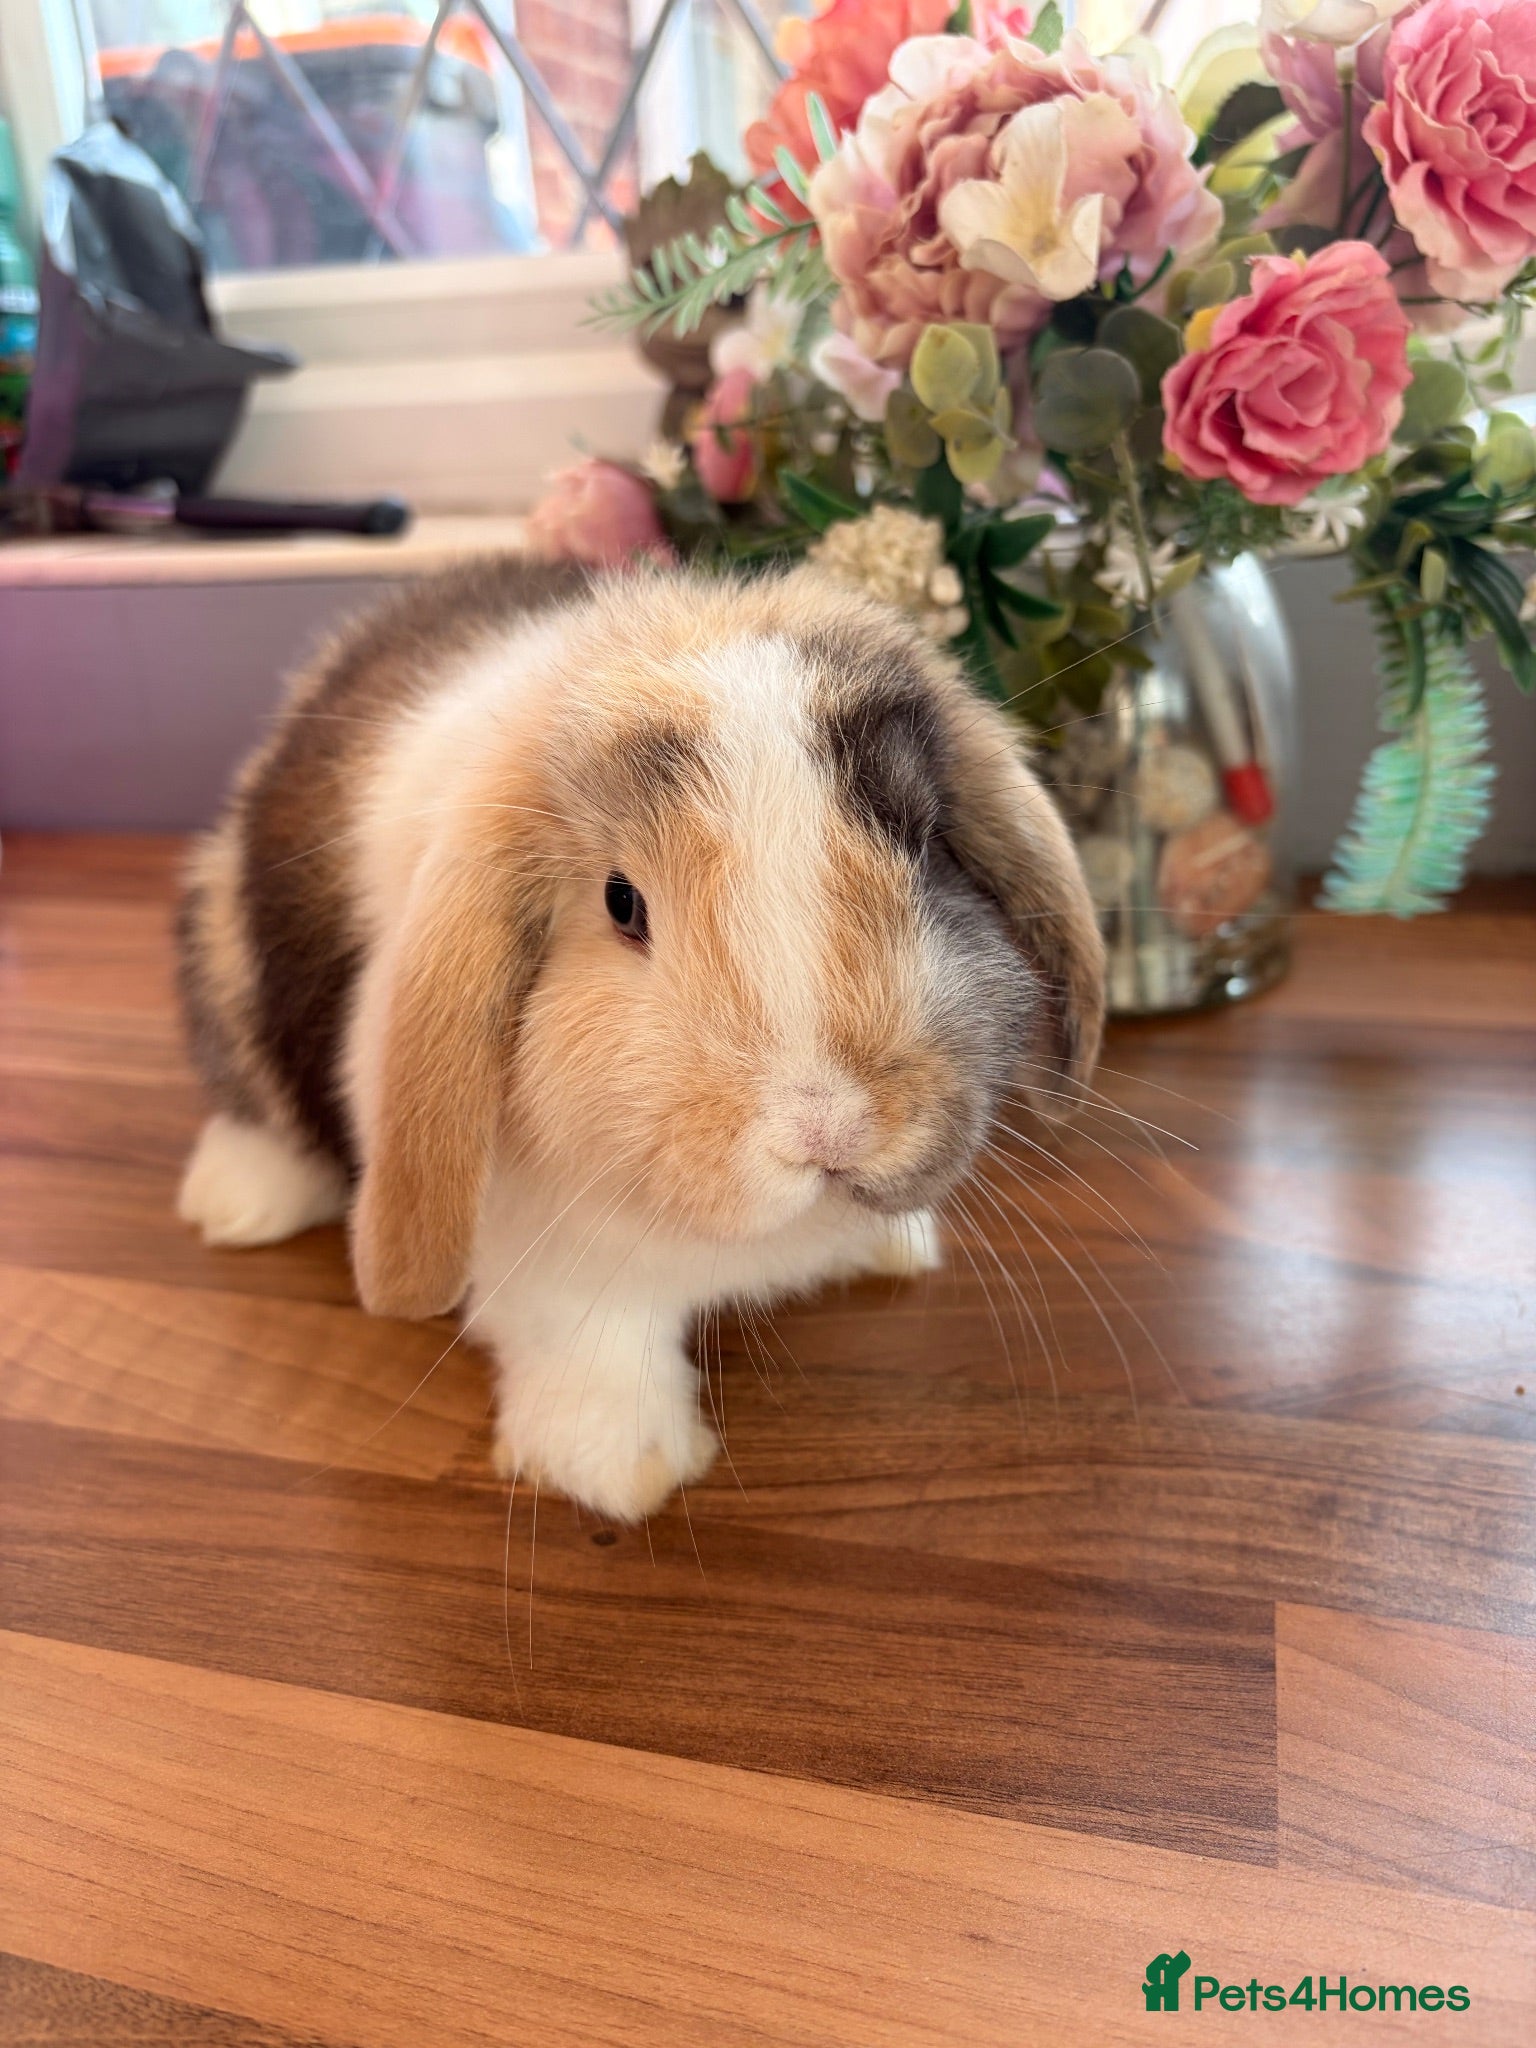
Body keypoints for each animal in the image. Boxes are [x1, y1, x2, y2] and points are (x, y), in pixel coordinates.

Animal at [176, 556, 1104, 1520]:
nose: (831, 1127)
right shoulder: (557, 1274)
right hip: (226, 966)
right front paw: (623, 1471)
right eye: (623, 902)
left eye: (925, 846)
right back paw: (235, 1205)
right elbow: (597, 1351)